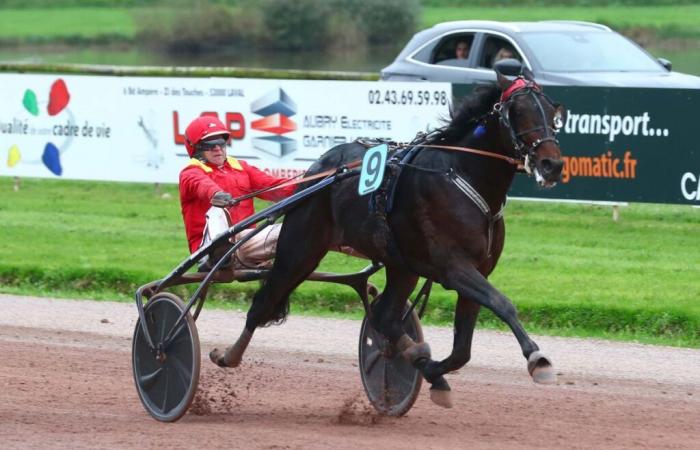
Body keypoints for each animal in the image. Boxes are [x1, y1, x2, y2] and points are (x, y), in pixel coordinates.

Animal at [211, 69, 568, 408]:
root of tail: (319, 167)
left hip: (402, 264)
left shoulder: (477, 269)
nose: (551, 164)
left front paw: (432, 371)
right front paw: (538, 360)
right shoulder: (455, 267)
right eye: (517, 111)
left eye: (553, 111)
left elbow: (463, 349)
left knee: (385, 316)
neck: (462, 174)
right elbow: (502, 303)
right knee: (263, 304)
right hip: (300, 249)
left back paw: (414, 356)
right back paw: (227, 355)